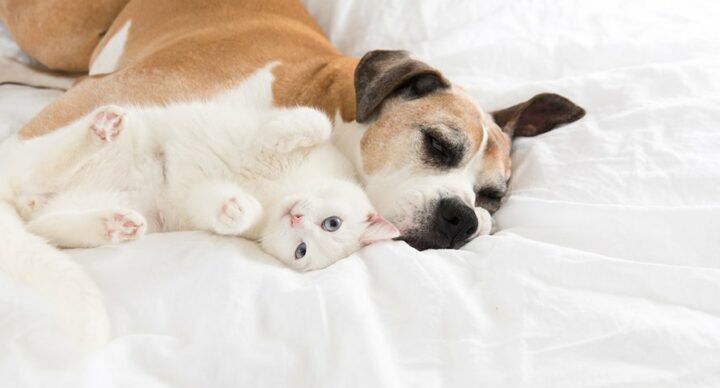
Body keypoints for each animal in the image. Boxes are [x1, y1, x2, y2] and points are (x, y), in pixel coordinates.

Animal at [1, 100, 400, 272]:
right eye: (333, 223)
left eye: (301, 251)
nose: (296, 217)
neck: (276, 194)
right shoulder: (318, 142)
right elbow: (316, 122)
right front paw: (279, 136)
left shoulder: (197, 201)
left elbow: (216, 205)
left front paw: (237, 208)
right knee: (45, 171)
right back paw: (101, 129)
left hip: (106, 205)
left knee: (43, 223)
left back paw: (116, 225)